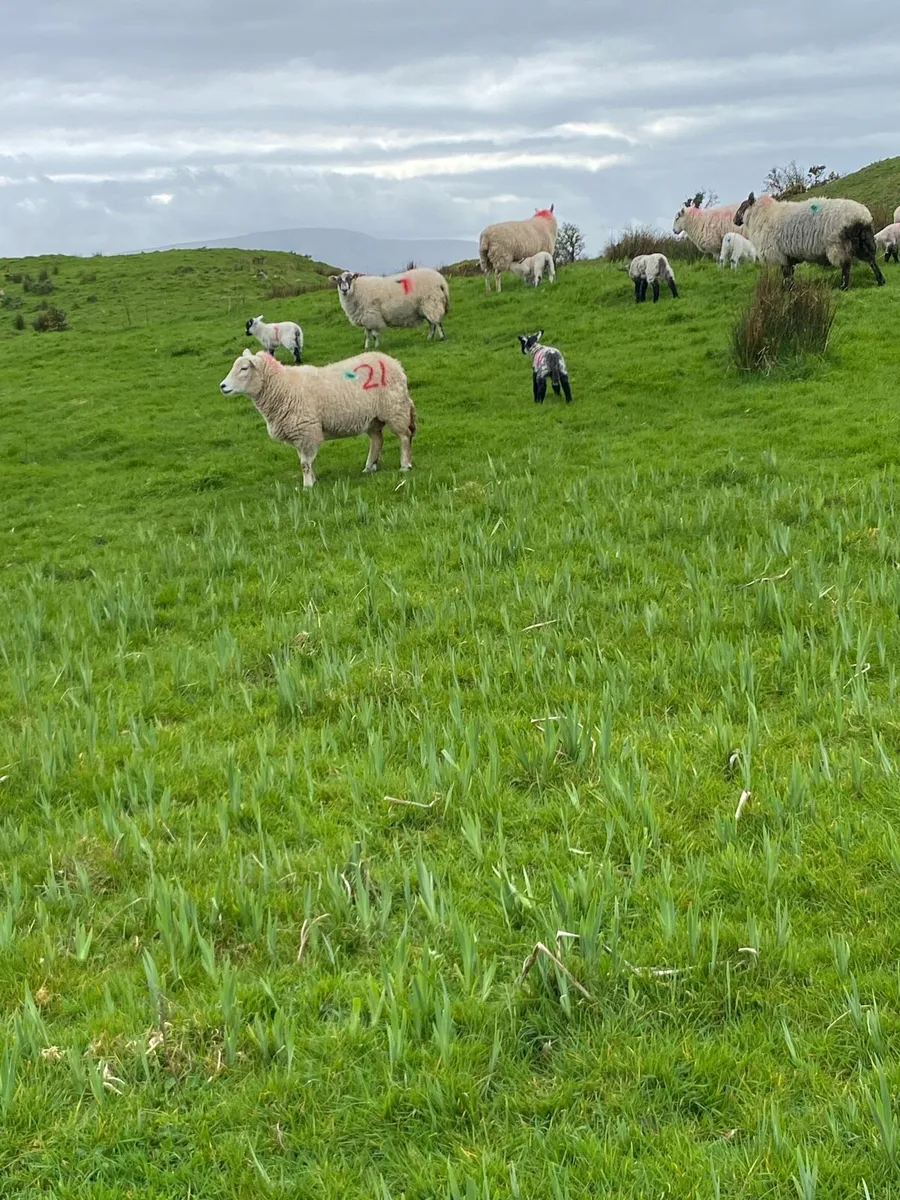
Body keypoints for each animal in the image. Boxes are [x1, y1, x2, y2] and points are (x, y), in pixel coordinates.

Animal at [219, 348, 415, 488]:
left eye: (244, 368)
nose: (222, 386)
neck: (283, 386)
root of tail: (395, 362)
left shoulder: (306, 430)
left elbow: (305, 464)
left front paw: (307, 486)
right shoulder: (300, 435)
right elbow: (307, 462)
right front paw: (313, 481)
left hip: (395, 408)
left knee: (404, 437)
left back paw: (405, 465)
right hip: (373, 418)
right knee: (377, 439)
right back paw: (368, 467)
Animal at [733, 192, 885, 289]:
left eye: (742, 206)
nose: (734, 220)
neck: (763, 215)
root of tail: (861, 216)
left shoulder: (779, 253)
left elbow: (786, 273)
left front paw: (786, 289)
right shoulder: (788, 254)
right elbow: (790, 272)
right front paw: (790, 287)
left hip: (838, 244)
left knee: (846, 265)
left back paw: (844, 286)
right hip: (863, 241)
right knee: (871, 259)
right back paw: (880, 280)